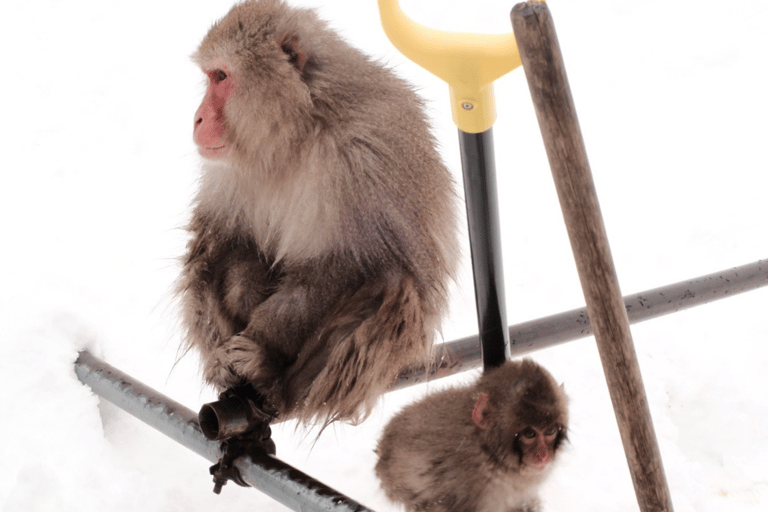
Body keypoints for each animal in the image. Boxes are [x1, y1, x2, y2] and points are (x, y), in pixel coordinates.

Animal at [178, 0, 458, 429]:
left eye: (220, 77)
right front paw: (224, 353)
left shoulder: (360, 161)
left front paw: (262, 343)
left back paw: (271, 381)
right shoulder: (229, 171)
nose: (198, 118)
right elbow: (221, 237)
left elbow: (344, 264)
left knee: (391, 285)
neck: (299, 130)